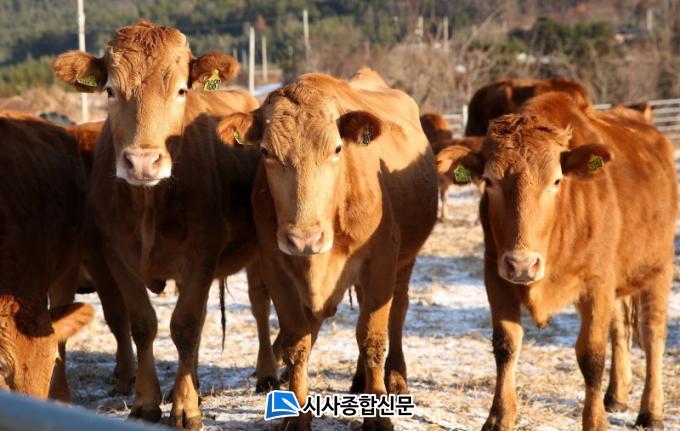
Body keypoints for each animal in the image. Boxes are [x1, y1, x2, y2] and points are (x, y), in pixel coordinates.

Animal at [53, 21, 265, 430]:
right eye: (110, 90)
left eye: (181, 89)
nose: (142, 162)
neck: (149, 205)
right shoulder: (115, 257)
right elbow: (141, 324)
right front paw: (147, 402)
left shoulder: (201, 256)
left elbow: (184, 326)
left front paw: (185, 408)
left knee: (260, 306)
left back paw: (267, 374)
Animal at [217, 68, 438, 430]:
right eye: (265, 152)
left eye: (336, 149)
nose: (304, 239)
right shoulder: (275, 266)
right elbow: (297, 341)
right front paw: (295, 417)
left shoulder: (381, 262)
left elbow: (373, 337)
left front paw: (379, 418)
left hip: (404, 262)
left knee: (398, 311)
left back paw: (394, 376)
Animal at [436, 92, 675, 430]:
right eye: (489, 181)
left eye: (557, 181)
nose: (523, 264)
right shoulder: (495, 275)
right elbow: (506, 345)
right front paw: (499, 417)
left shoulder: (597, 283)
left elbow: (592, 356)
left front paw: (595, 422)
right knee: (620, 330)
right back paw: (616, 394)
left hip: (658, 268)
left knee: (653, 334)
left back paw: (651, 411)